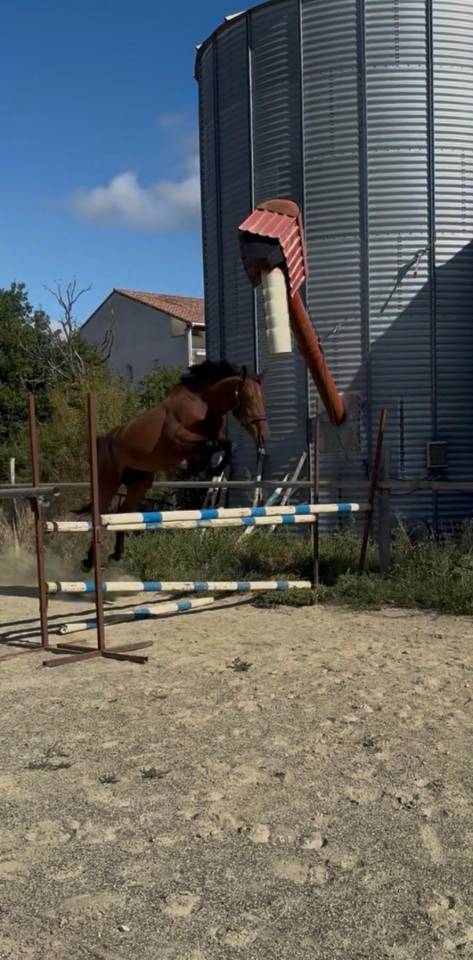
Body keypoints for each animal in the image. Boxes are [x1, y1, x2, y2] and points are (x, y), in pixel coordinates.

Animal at [78, 360, 268, 571]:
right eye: (249, 399)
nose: (263, 436)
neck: (206, 404)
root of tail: (104, 440)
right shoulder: (179, 438)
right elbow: (211, 444)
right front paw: (200, 468)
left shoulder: (215, 438)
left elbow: (227, 445)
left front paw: (208, 468)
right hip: (108, 481)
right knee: (100, 512)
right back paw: (89, 561)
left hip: (140, 483)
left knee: (123, 513)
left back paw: (117, 553)